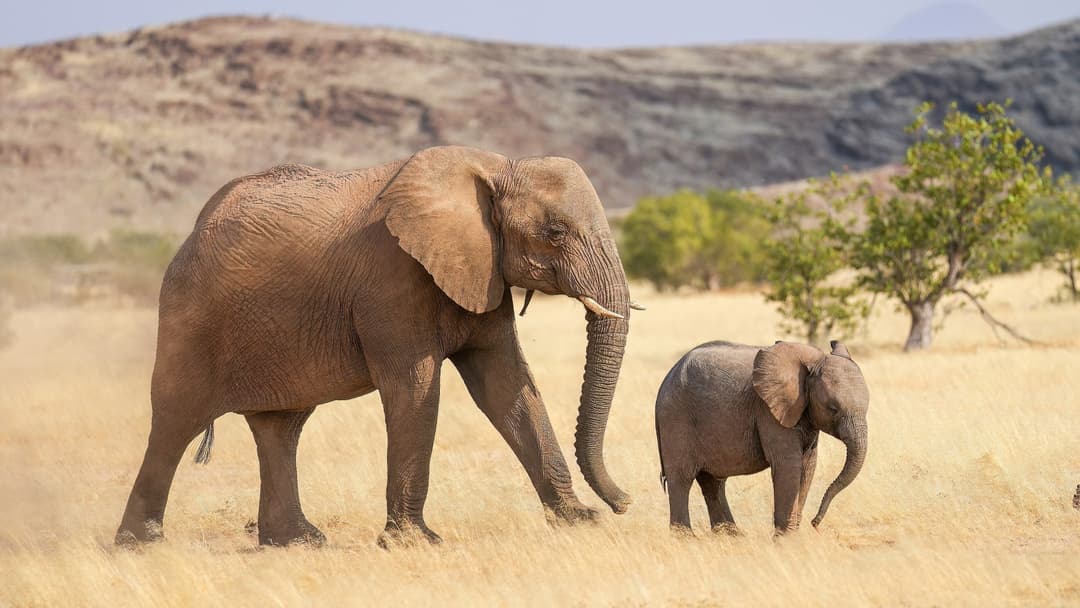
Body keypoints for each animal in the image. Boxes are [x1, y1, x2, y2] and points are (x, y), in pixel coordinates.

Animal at [115, 145, 639, 548]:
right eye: (555, 232)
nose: (626, 502)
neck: (496, 165)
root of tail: (190, 234)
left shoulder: (481, 271)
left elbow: (507, 385)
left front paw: (581, 521)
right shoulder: (392, 279)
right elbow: (415, 387)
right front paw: (414, 542)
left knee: (280, 428)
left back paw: (298, 541)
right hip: (189, 315)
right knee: (176, 421)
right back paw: (140, 544)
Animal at [654, 340, 868, 535]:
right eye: (833, 408)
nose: (815, 523)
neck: (814, 361)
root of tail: (667, 378)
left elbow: (808, 465)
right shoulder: (768, 411)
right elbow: (788, 465)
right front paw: (786, 540)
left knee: (712, 481)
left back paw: (731, 535)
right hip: (675, 418)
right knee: (682, 477)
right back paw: (686, 538)